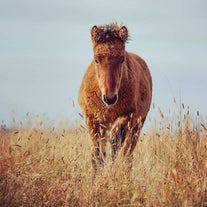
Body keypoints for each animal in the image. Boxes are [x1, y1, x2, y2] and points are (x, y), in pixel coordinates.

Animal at [77, 22, 152, 174]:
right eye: (96, 59)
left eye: (122, 59)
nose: (110, 98)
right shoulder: (92, 120)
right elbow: (97, 152)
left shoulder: (126, 116)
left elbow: (115, 146)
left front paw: (112, 171)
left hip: (137, 126)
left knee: (127, 153)